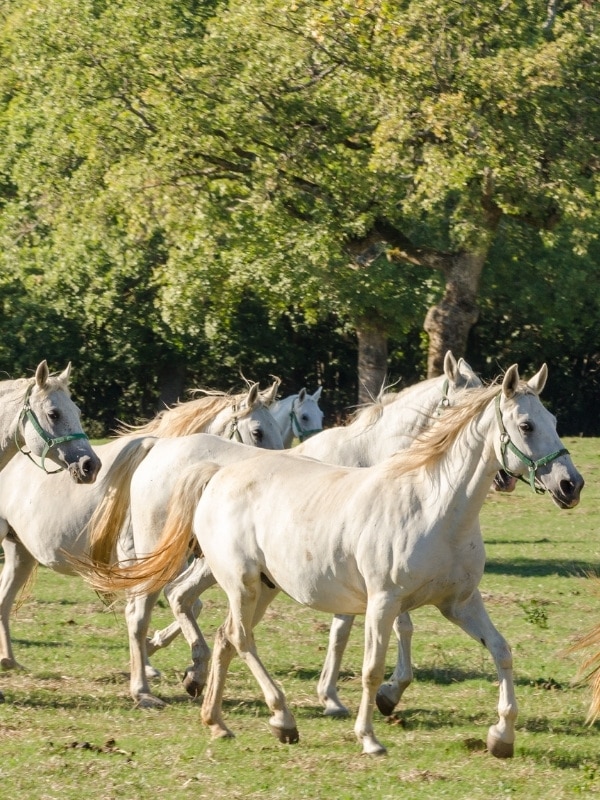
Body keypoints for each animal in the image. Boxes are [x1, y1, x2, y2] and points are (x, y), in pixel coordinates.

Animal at [0, 382, 284, 692]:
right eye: (257, 431)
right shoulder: (134, 559)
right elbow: (151, 605)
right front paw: (149, 664)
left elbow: (187, 603)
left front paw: (156, 653)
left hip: (20, 552)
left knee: (4, 599)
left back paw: (9, 660)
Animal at [86, 362, 584, 756]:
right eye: (526, 425)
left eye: (554, 419)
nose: (570, 484)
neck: (434, 506)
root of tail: (215, 474)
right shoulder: (383, 602)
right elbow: (370, 667)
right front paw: (368, 734)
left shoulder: (459, 603)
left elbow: (501, 652)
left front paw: (502, 736)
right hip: (233, 580)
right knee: (209, 627)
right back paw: (269, 715)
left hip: (260, 588)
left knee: (221, 632)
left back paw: (218, 719)